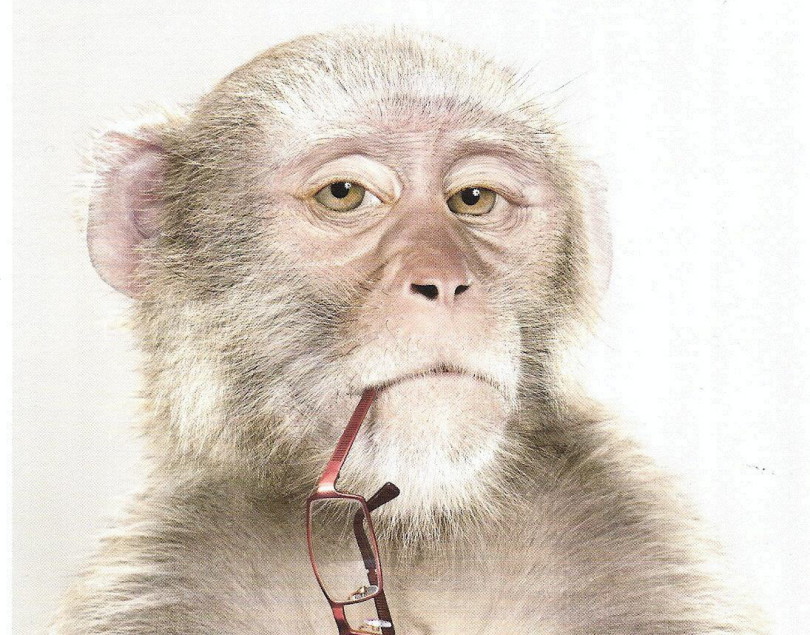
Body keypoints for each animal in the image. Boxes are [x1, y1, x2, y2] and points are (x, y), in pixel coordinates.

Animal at [53, 27, 764, 634]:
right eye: (343, 194)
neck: (415, 530)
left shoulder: (644, 542)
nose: (444, 282)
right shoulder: (153, 578)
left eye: (474, 200)